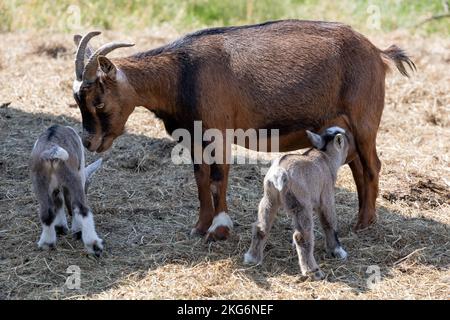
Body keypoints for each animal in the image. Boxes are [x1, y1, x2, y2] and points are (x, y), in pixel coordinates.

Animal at [73, 19, 414, 240]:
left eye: (98, 100)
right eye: (77, 99)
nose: (89, 142)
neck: (182, 73)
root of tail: (378, 53)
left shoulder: (219, 131)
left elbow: (218, 177)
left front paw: (220, 228)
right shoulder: (193, 135)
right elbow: (200, 179)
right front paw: (200, 227)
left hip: (364, 121)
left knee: (372, 167)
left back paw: (364, 225)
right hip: (345, 127)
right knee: (358, 167)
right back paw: (361, 220)